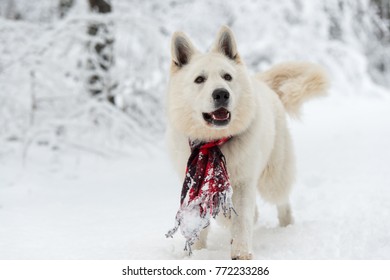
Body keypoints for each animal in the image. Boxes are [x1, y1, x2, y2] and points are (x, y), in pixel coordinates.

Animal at [165, 25, 330, 260]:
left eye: (227, 76)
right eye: (199, 79)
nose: (221, 93)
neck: (215, 143)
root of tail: (260, 81)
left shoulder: (244, 182)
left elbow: (241, 220)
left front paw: (241, 253)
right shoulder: (195, 185)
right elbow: (205, 219)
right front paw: (196, 253)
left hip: (273, 177)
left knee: (282, 201)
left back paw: (287, 225)